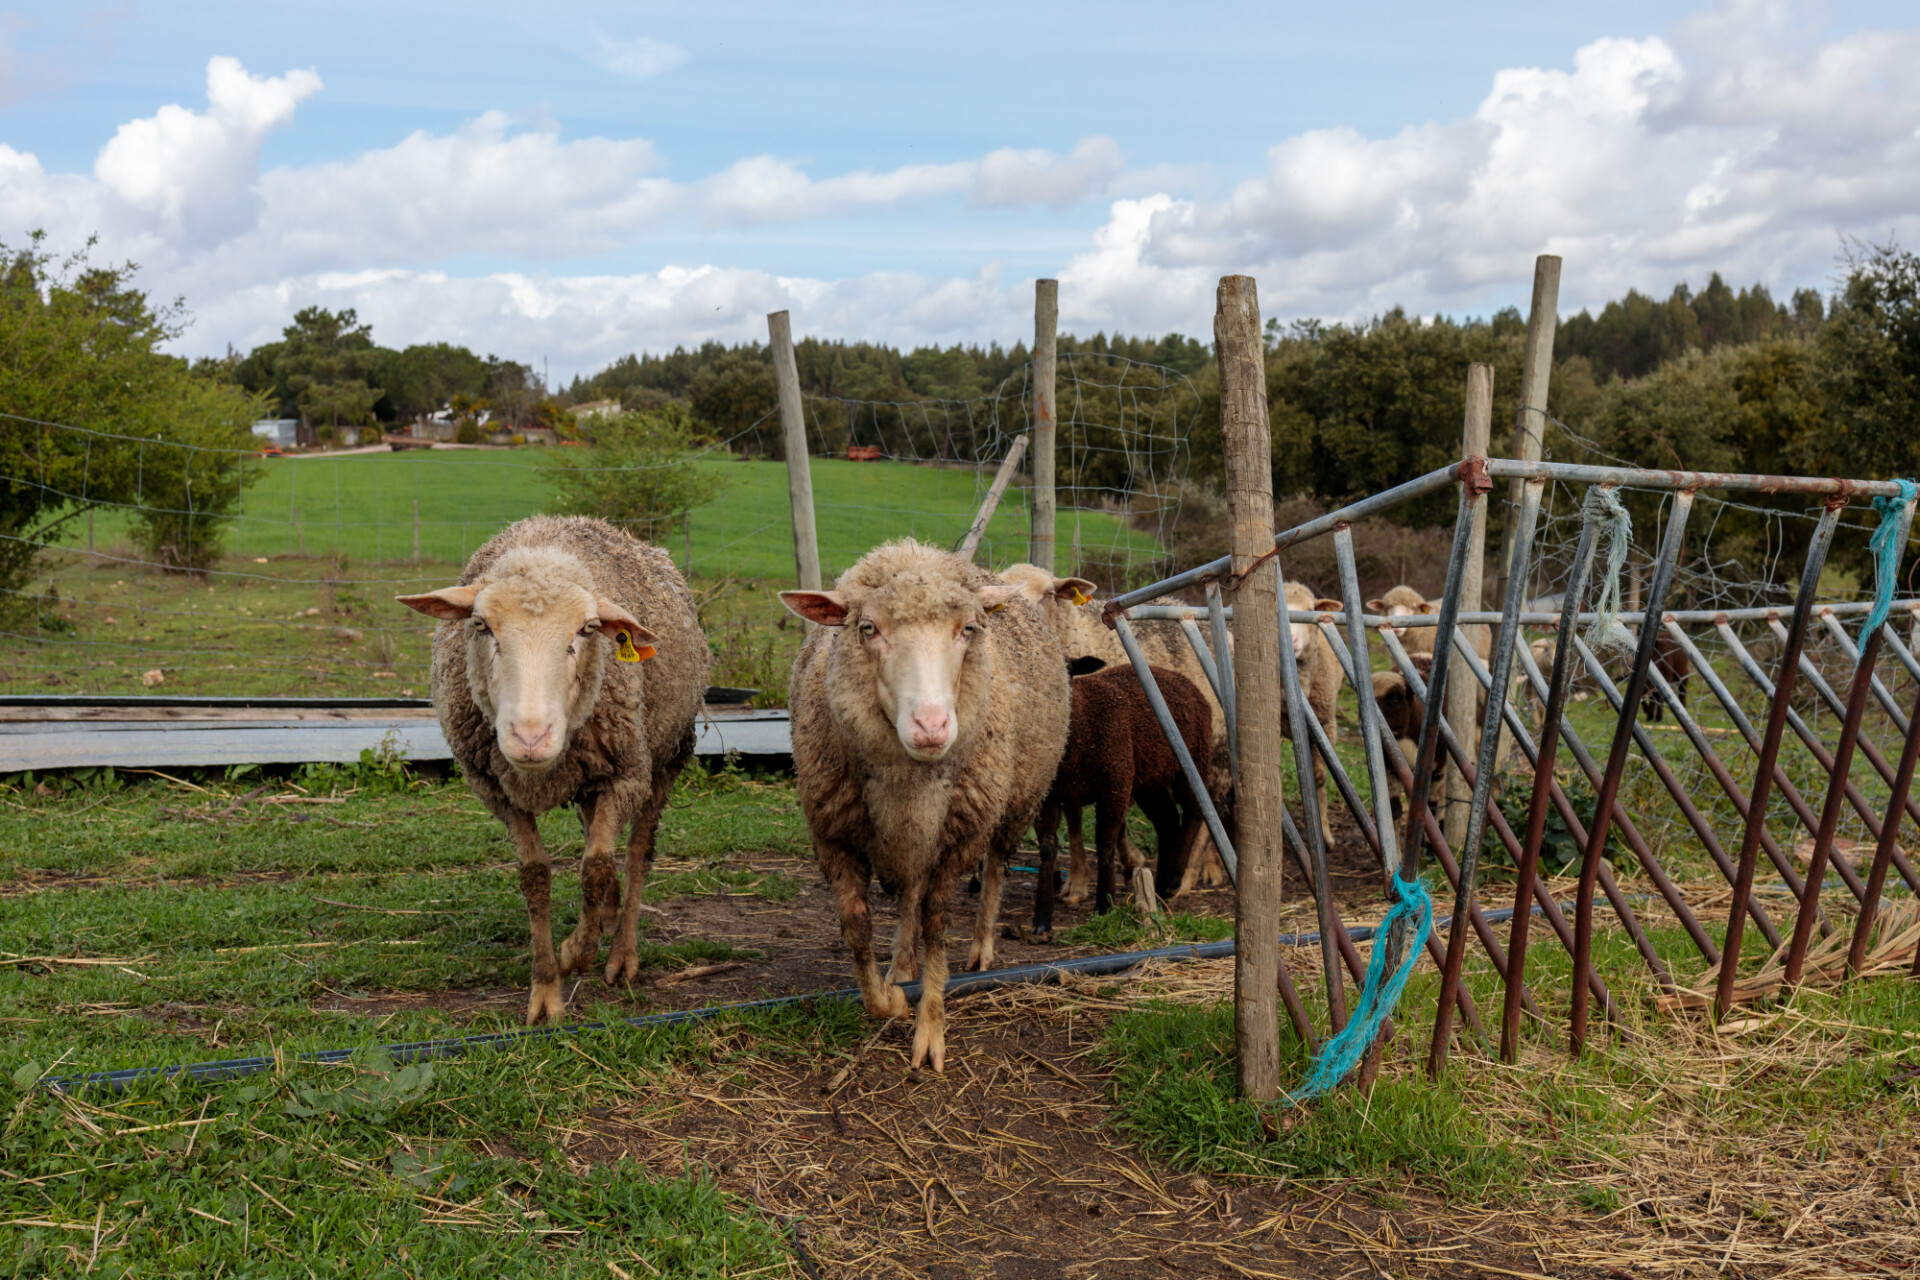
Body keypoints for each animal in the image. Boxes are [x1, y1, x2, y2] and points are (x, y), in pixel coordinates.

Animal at [397, 514, 706, 1028]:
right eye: (481, 625)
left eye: (588, 629)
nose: (530, 737)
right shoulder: (495, 789)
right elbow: (536, 876)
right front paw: (546, 990)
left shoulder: (626, 775)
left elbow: (595, 867)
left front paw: (574, 953)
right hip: (591, 778)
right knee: (594, 834)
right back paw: (605, 917)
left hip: (667, 756)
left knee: (636, 851)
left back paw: (621, 952)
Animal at [783, 541, 1082, 1074]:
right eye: (867, 628)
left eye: (968, 629)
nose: (931, 727)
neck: (908, 779)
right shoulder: (833, 831)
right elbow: (857, 927)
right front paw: (890, 999)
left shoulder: (961, 836)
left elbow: (938, 925)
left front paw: (930, 1031)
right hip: (917, 832)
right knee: (910, 891)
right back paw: (902, 965)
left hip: (1013, 803)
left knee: (996, 870)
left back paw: (982, 949)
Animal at [1036, 667, 1213, 936]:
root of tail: (1180, 678)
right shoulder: (1049, 795)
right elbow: (1047, 848)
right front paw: (1042, 920)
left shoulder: (1114, 786)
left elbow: (1105, 843)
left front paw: (1104, 906)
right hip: (1149, 776)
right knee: (1168, 821)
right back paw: (1161, 887)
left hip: (1192, 760)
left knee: (1193, 811)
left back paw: (1173, 878)